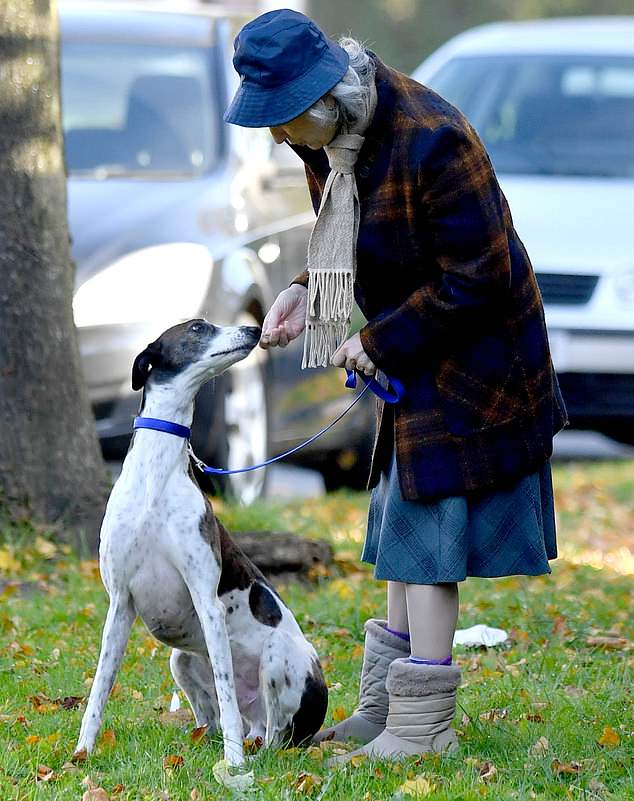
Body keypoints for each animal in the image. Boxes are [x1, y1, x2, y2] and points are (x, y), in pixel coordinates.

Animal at [75, 318, 326, 764]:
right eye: (197, 327)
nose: (253, 328)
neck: (155, 477)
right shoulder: (120, 604)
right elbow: (99, 689)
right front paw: (82, 752)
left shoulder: (207, 603)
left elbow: (225, 696)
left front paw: (234, 765)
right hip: (181, 661)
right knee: (217, 722)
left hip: (278, 658)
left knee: (271, 734)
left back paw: (250, 755)